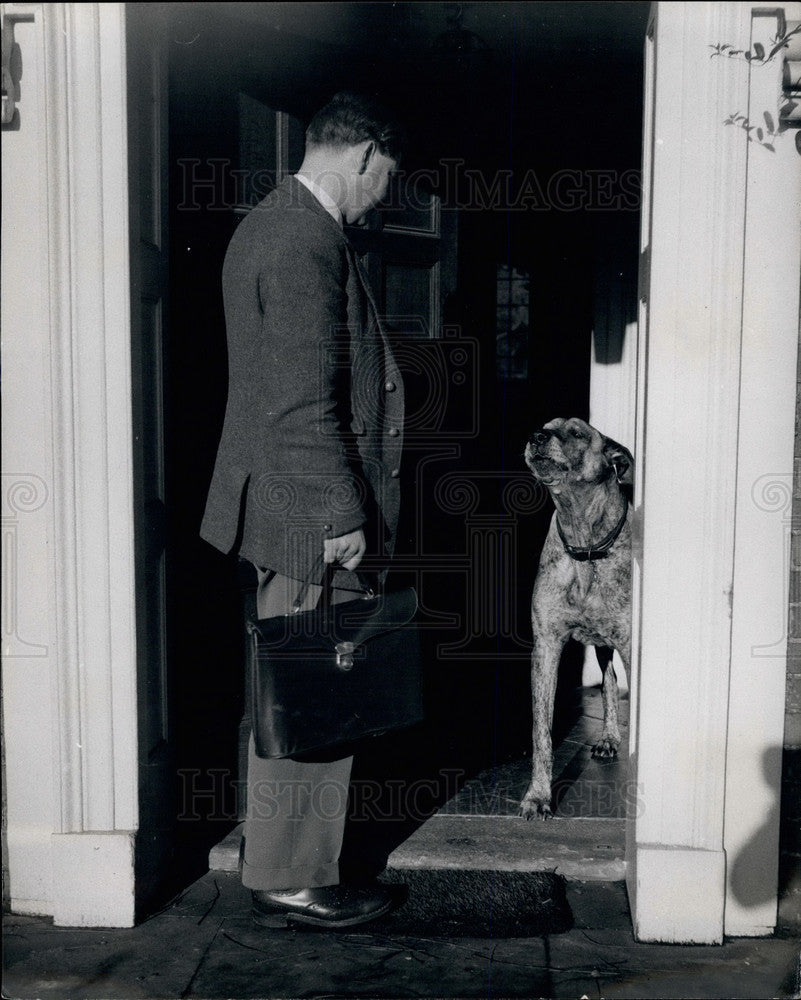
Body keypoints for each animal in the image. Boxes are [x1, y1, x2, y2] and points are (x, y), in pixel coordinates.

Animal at [520, 416, 632, 820]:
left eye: (578, 433)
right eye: (546, 426)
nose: (535, 436)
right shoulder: (546, 648)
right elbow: (541, 731)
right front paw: (538, 796)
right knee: (610, 682)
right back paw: (609, 736)